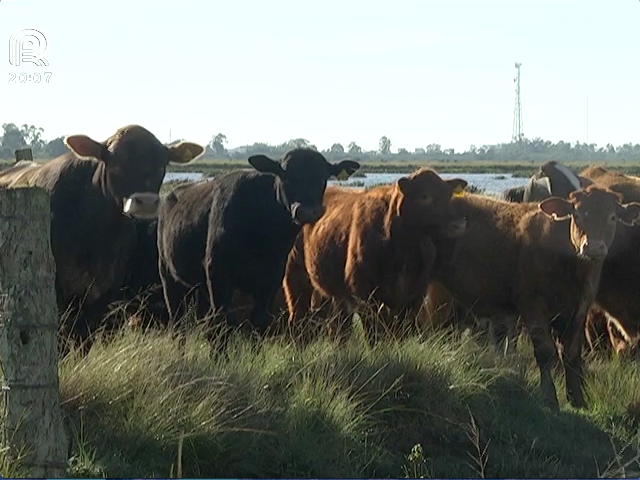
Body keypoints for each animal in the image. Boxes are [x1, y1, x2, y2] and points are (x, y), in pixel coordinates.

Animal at [157, 148, 360, 344]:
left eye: (322, 178)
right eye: (286, 176)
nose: (308, 211)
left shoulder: (270, 280)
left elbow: (259, 322)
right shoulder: (218, 274)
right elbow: (222, 327)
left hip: (200, 287)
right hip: (170, 278)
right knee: (178, 323)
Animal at [282, 167, 468, 344]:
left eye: (449, 195)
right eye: (425, 196)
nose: (458, 225)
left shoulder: (414, 295)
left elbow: (399, 332)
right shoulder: (364, 294)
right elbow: (374, 334)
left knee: (335, 325)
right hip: (295, 277)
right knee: (298, 319)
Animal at [428, 187, 640, 408]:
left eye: (612, 217)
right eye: (577, 215)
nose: (593, 247)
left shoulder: (579, 310)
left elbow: (572, 354)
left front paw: (577, 398)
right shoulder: (533, 307)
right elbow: (545, 352)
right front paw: (549, 398)